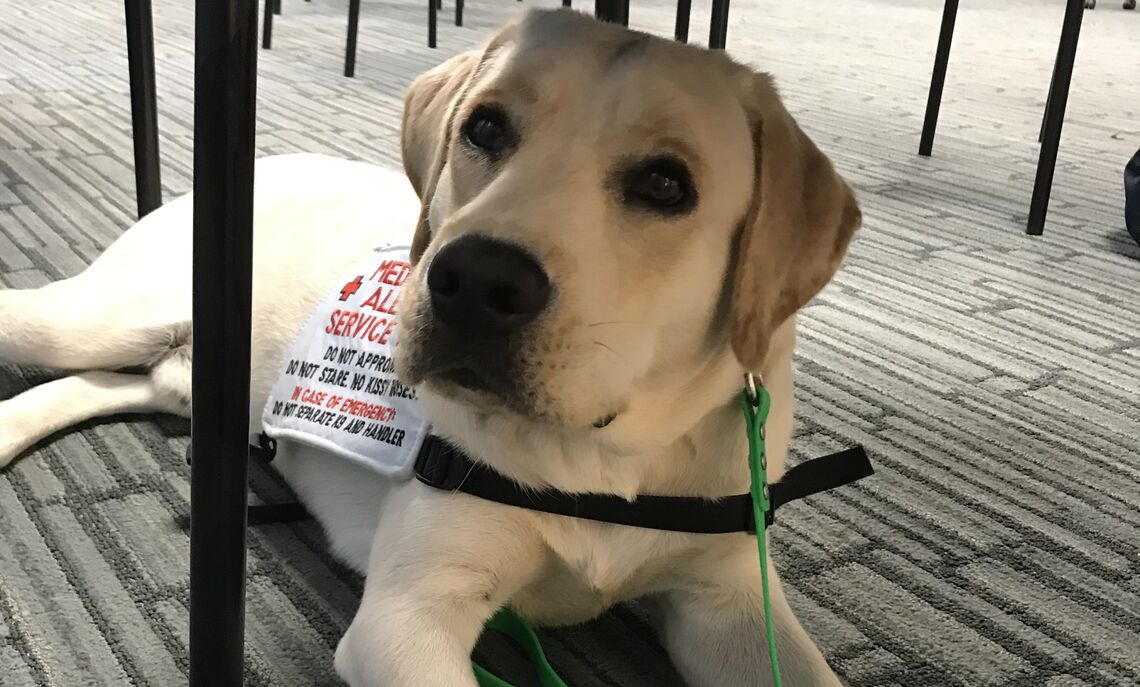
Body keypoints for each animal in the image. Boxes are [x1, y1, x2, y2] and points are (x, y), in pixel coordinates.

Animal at [0, 6, 857, 687]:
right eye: (485, 126)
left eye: (667, 184)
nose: (473, 280)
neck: (602, 457)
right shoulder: (408, 616)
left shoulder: (731, 600)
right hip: (99, 312)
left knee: (111, 381)